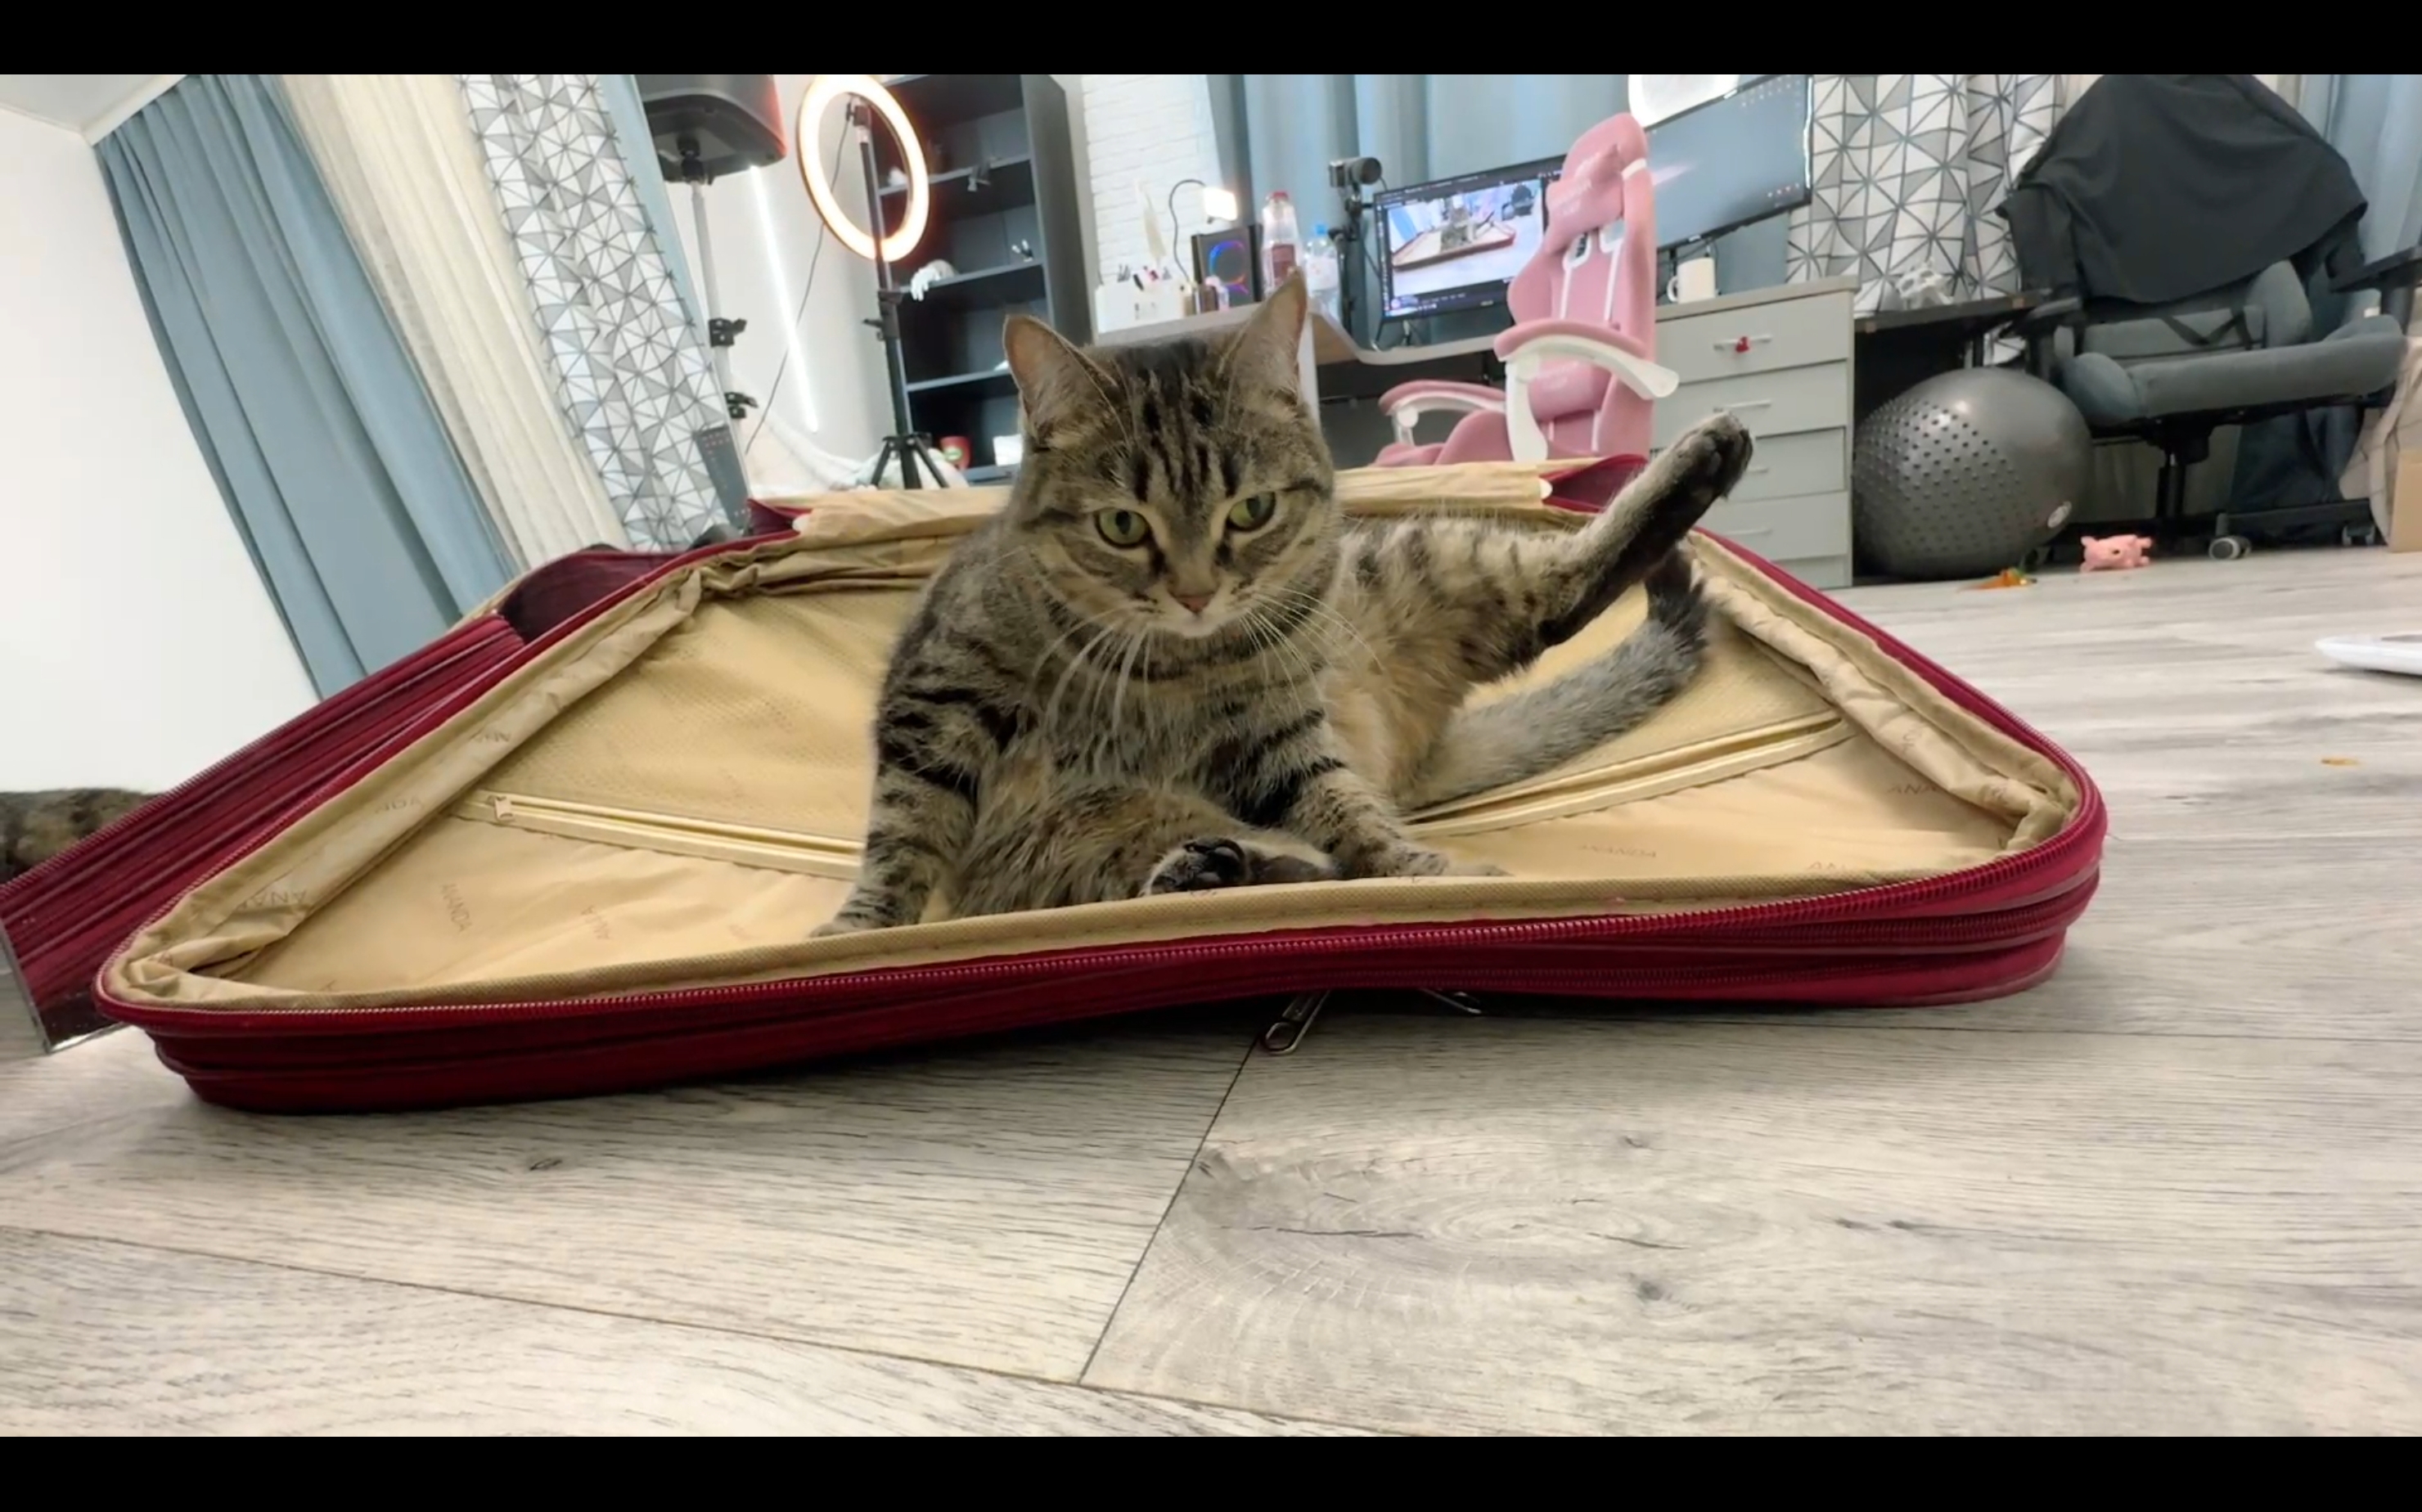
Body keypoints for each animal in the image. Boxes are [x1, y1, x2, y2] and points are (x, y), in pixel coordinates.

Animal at [816, 273, 1753, 935]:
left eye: (1251, 511)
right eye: (1122, 525)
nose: (1195, 593)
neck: (1157, 666)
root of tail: (1409, 754)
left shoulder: (1276, 738)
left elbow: (1353, 825)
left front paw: (1423, 874)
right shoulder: (934, 702)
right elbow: (901, 837)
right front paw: (860, 928)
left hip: (1424, 565)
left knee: (1551, 599)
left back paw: (1703, 457)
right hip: (1085, 834)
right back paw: (1211, 867)